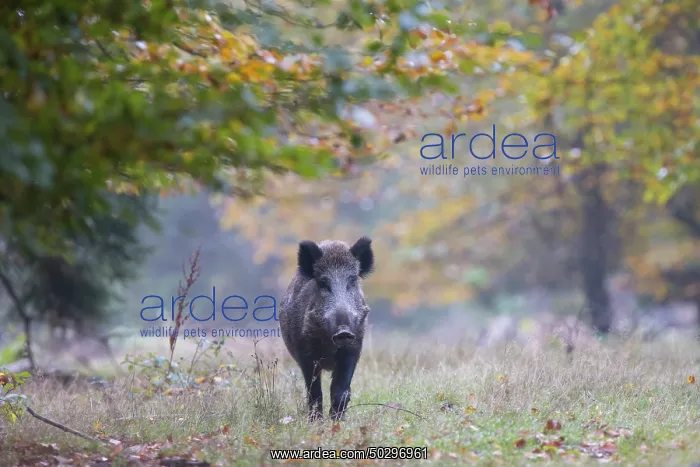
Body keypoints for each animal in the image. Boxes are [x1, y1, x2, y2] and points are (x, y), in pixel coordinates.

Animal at [279, 237, 374, 422]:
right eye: (323, 283)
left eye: (352, 281)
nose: (344, 331)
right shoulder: (305, 352)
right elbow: (314, 391)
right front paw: (316, 422)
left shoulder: (353, 347)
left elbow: (341, 390)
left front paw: (336, 421)